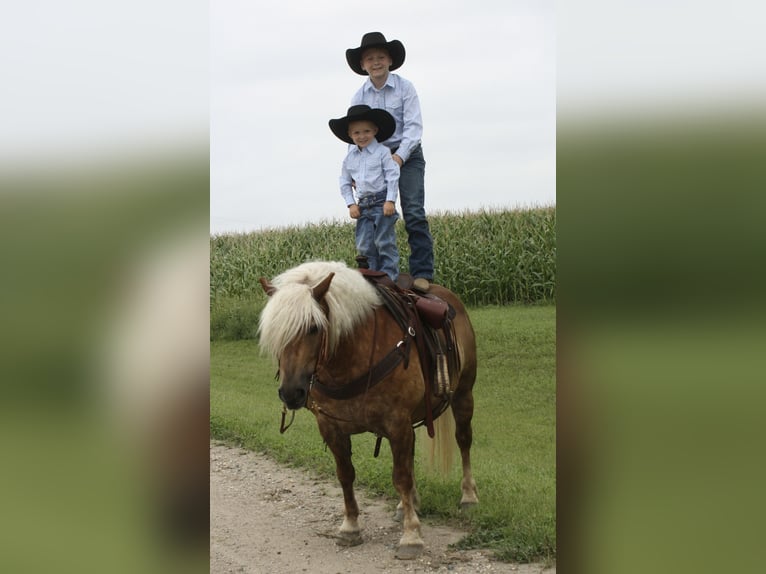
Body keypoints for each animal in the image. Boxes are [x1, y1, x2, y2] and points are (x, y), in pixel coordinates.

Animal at [258, 264, 480, 560]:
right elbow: (346, 474)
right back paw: (407, 504)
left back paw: (468, 496)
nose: (291, 392)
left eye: (314, 327)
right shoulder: (332, 427)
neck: (351, 357)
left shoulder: (397, 423)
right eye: (273, 332)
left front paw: (411, 536)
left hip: (463, 394)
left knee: (463, 440)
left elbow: (400, 477)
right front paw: (350, 527)